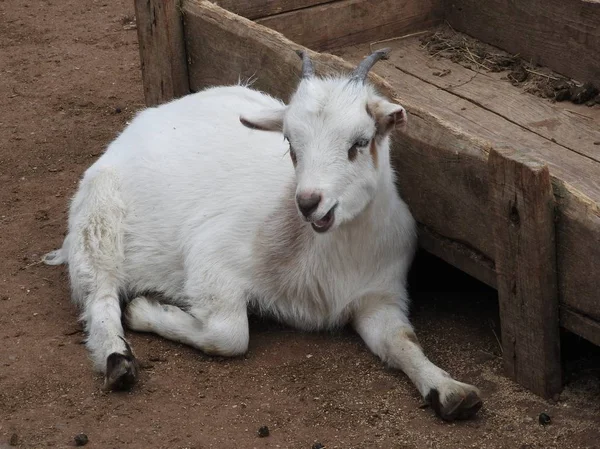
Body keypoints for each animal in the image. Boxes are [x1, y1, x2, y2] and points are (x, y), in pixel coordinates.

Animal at [43, 49, 482, 420]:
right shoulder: (211, 258)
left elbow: (401, 341)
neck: (328, 252)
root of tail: (150, 115)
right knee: (99, 294)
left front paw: (449, 390)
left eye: (360, 142)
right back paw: (117, 360)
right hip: (97, 217)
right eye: (290, 142)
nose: (309, 202)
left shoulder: (378, 295)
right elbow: (229, 335)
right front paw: (145, 311)